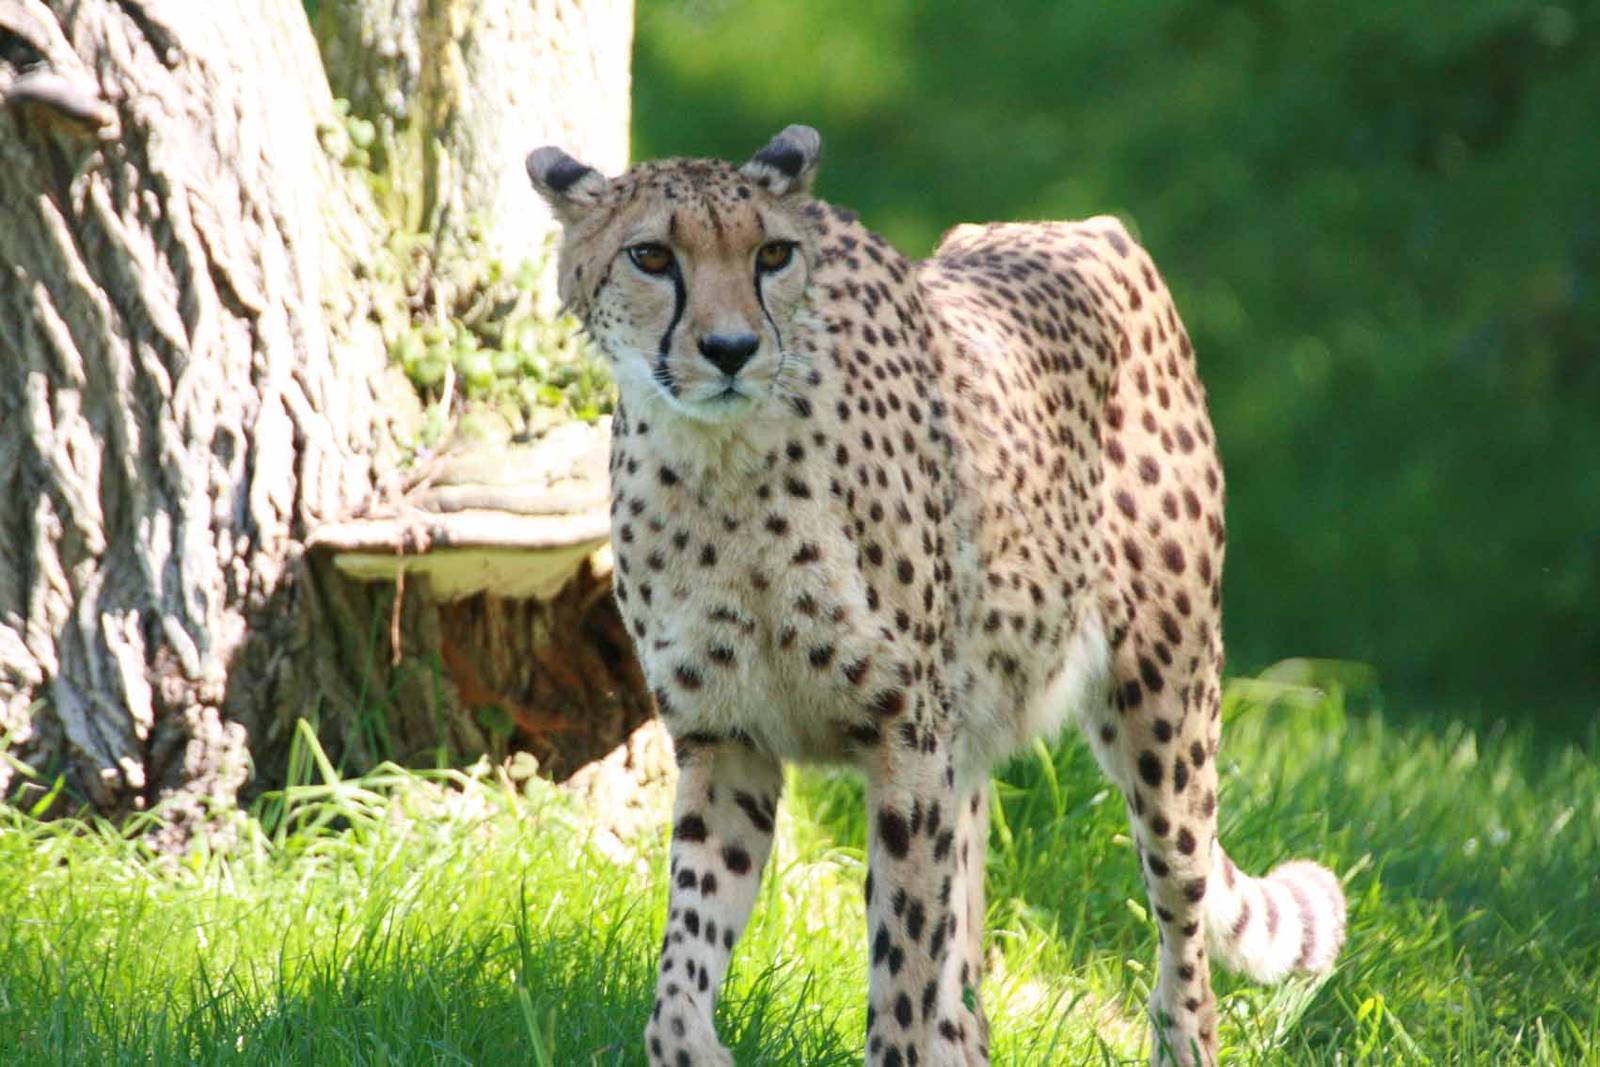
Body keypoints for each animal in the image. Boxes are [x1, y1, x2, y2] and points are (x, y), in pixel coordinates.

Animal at [526, 125, 1346, 1067]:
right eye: (652, 256)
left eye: (772, 254)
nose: (731, 349)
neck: (723, 465)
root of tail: (1083, 226)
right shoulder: (728, 740)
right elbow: (683, 968)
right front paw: (694, 1042)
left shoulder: (905, 738)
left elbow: (902, 972)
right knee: (973, 973)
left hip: (1165, 707)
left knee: (1184, 939)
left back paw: (1184, 1032)